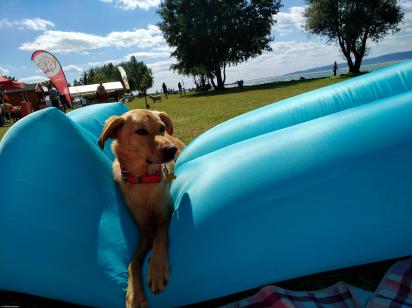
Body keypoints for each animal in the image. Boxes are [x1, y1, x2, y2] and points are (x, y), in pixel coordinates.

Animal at [97, 109, 184, 306]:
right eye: (141, 132)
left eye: (161, 127)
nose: (171, 150)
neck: (144, 181)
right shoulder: (144, 231)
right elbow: (133, 262)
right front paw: (134, 294)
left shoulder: (164, 218)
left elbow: (160, 237)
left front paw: (157, 268)